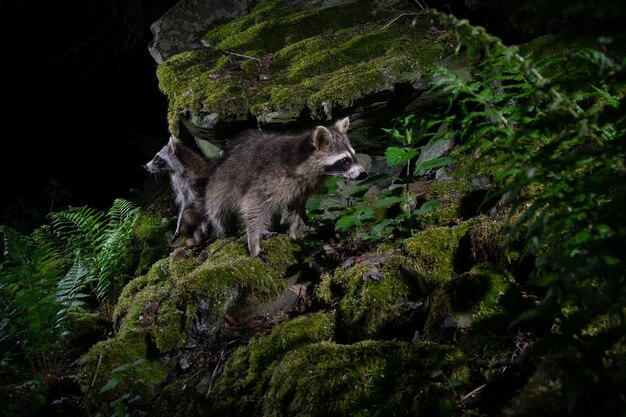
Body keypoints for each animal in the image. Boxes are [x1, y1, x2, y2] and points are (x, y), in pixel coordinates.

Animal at [200, 115, 366, 255]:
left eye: (354, 154)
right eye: (344, 160)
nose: (363, 174)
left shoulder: (302, 187)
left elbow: (296, 208)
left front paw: (292, 232)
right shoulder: (269, 180)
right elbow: (254, 206)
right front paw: (253, 242)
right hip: (219, 186)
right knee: (220, 210)